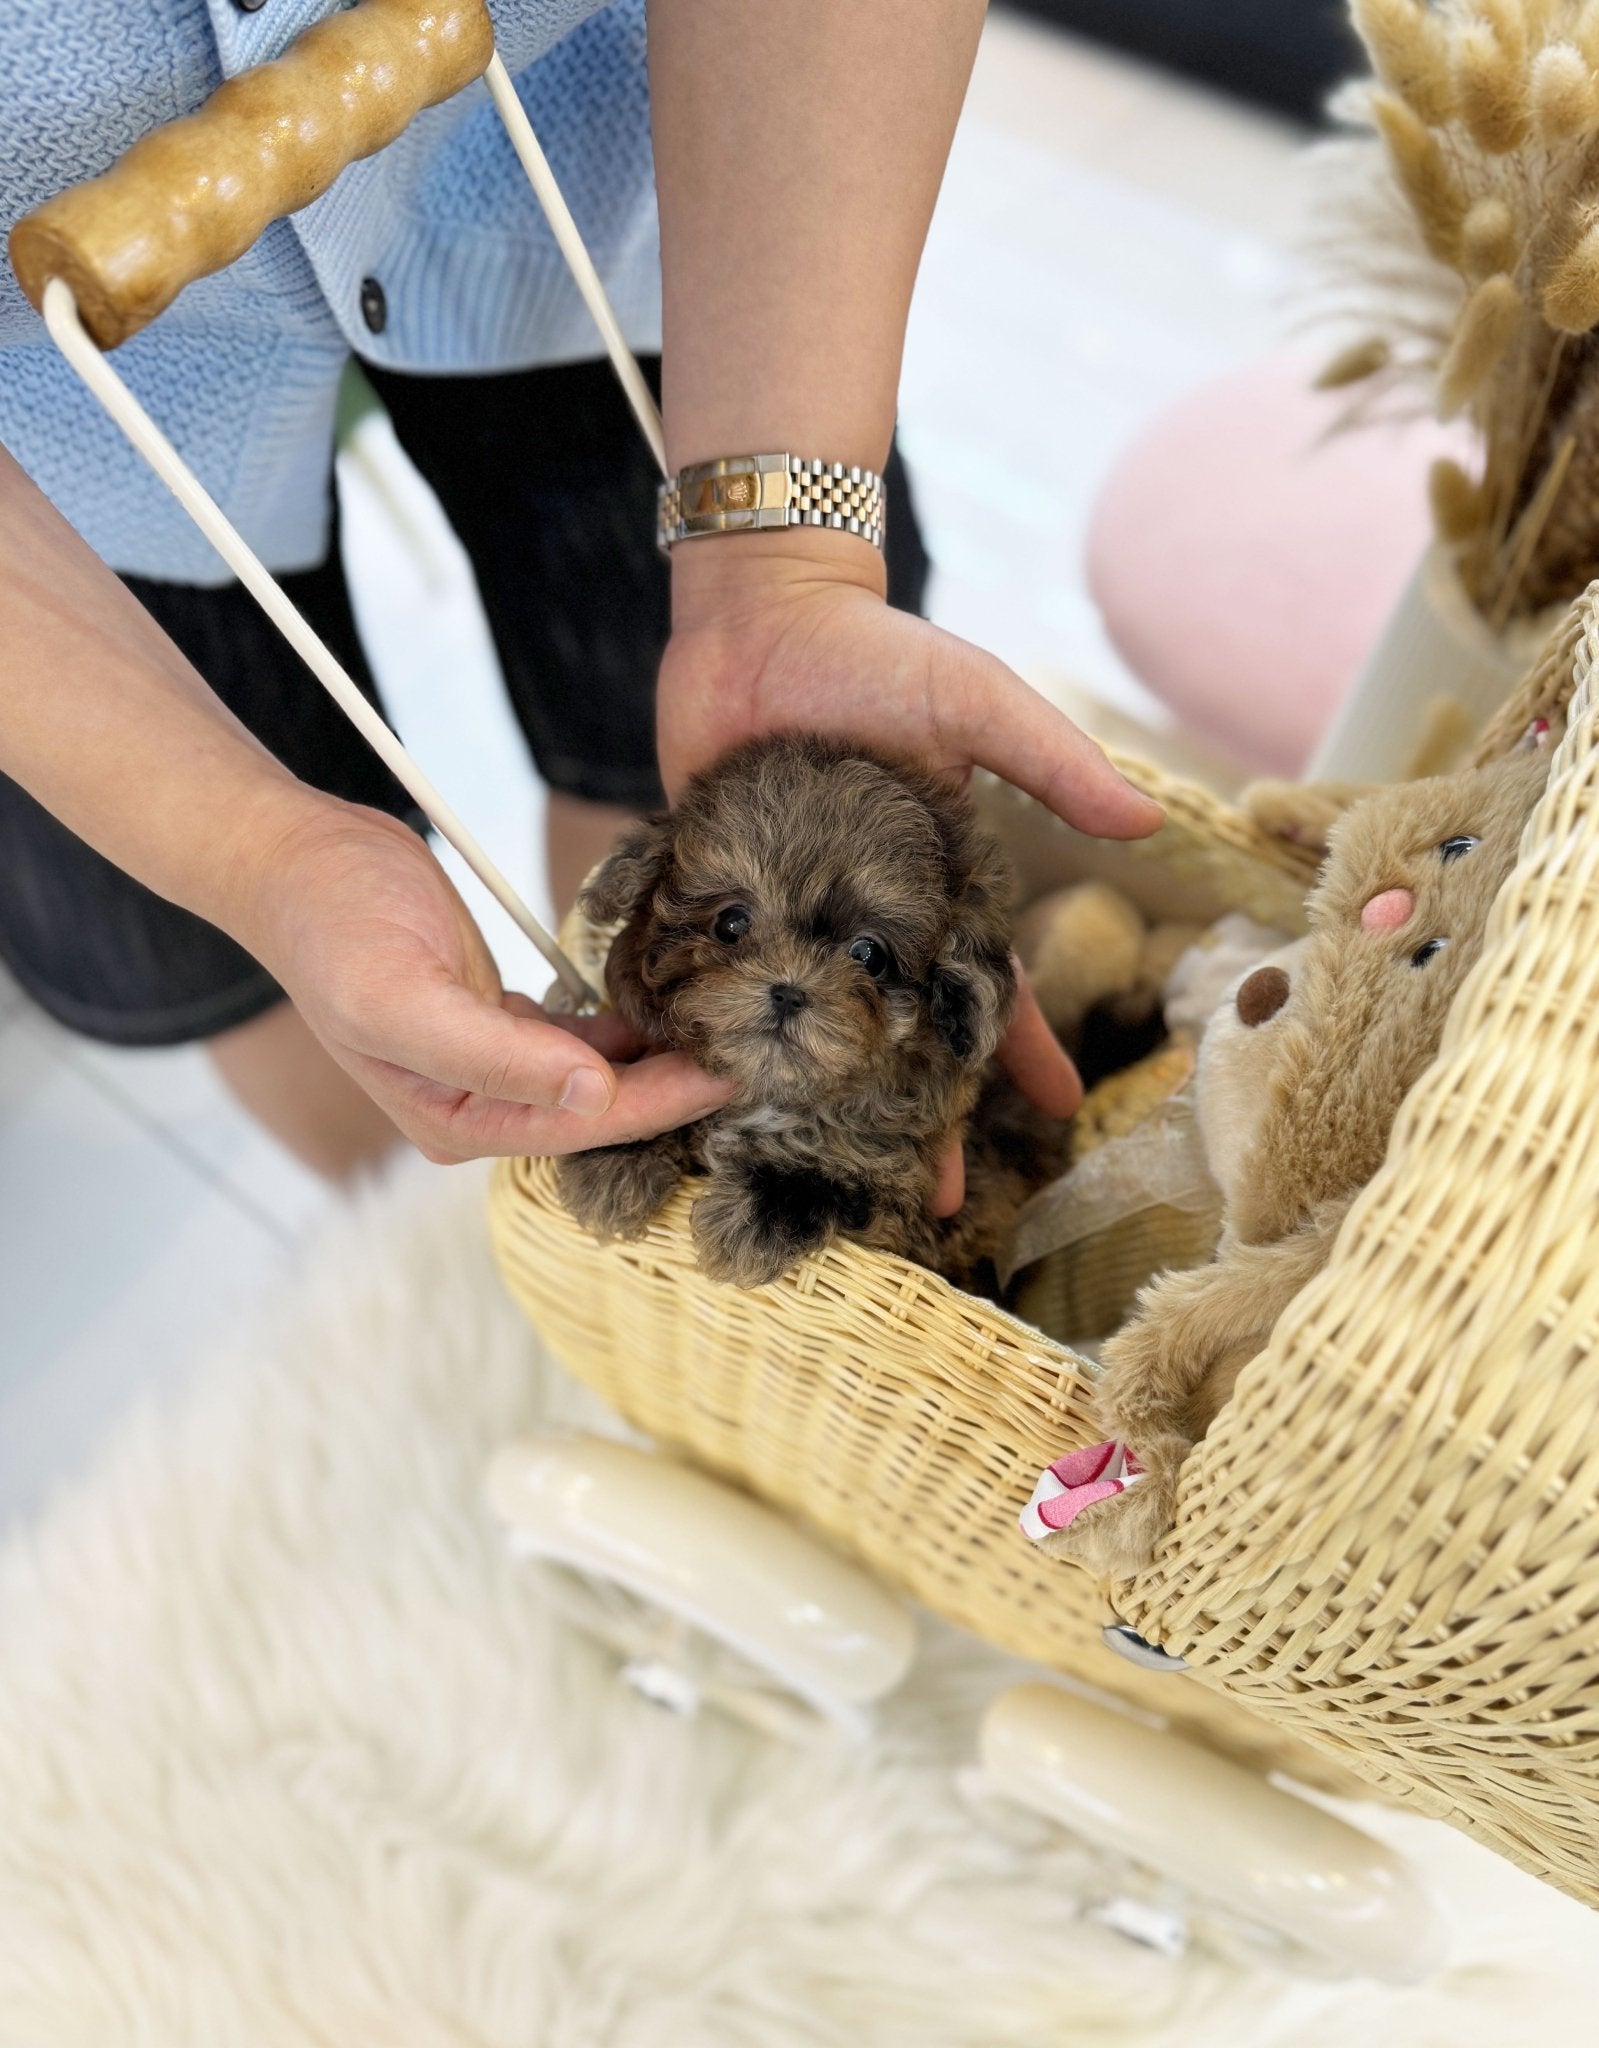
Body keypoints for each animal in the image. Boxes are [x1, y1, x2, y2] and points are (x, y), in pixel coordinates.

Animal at [556, 729, 1064, 1286]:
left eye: (869, 955)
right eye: (731, 923)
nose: (788, 990)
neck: (777, 1090)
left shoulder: (910, 1200)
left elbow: (841, 1177)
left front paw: (761, 1211)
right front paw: (617, 1156)